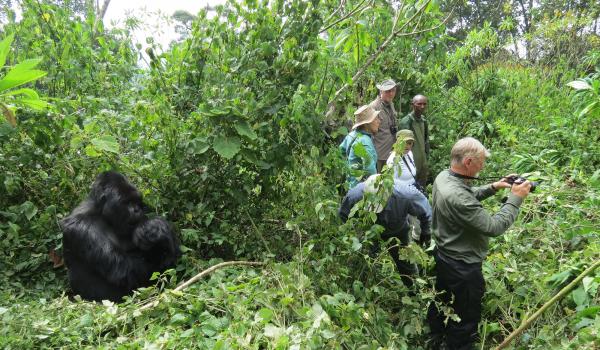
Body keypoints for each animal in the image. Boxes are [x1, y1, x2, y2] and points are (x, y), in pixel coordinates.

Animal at [62, 171, 183, 302]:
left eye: (136, 201)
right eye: (127, 202)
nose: (136, 210)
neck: (101, 213)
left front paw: (159, 231)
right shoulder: (82, 227)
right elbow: (124, 270)